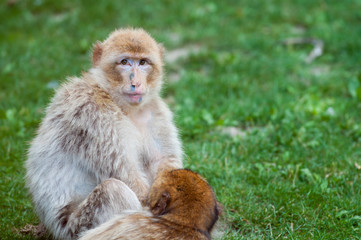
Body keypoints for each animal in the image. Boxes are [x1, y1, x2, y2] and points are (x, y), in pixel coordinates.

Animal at [25, 27, 183, 239]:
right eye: (125, 62)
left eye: (143, 62)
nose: (135, 82)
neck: (120, 104)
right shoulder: (92, 113)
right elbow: (123, 173)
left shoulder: (155, 112)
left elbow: (163, 161)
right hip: (73, 227)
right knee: (113, 191)